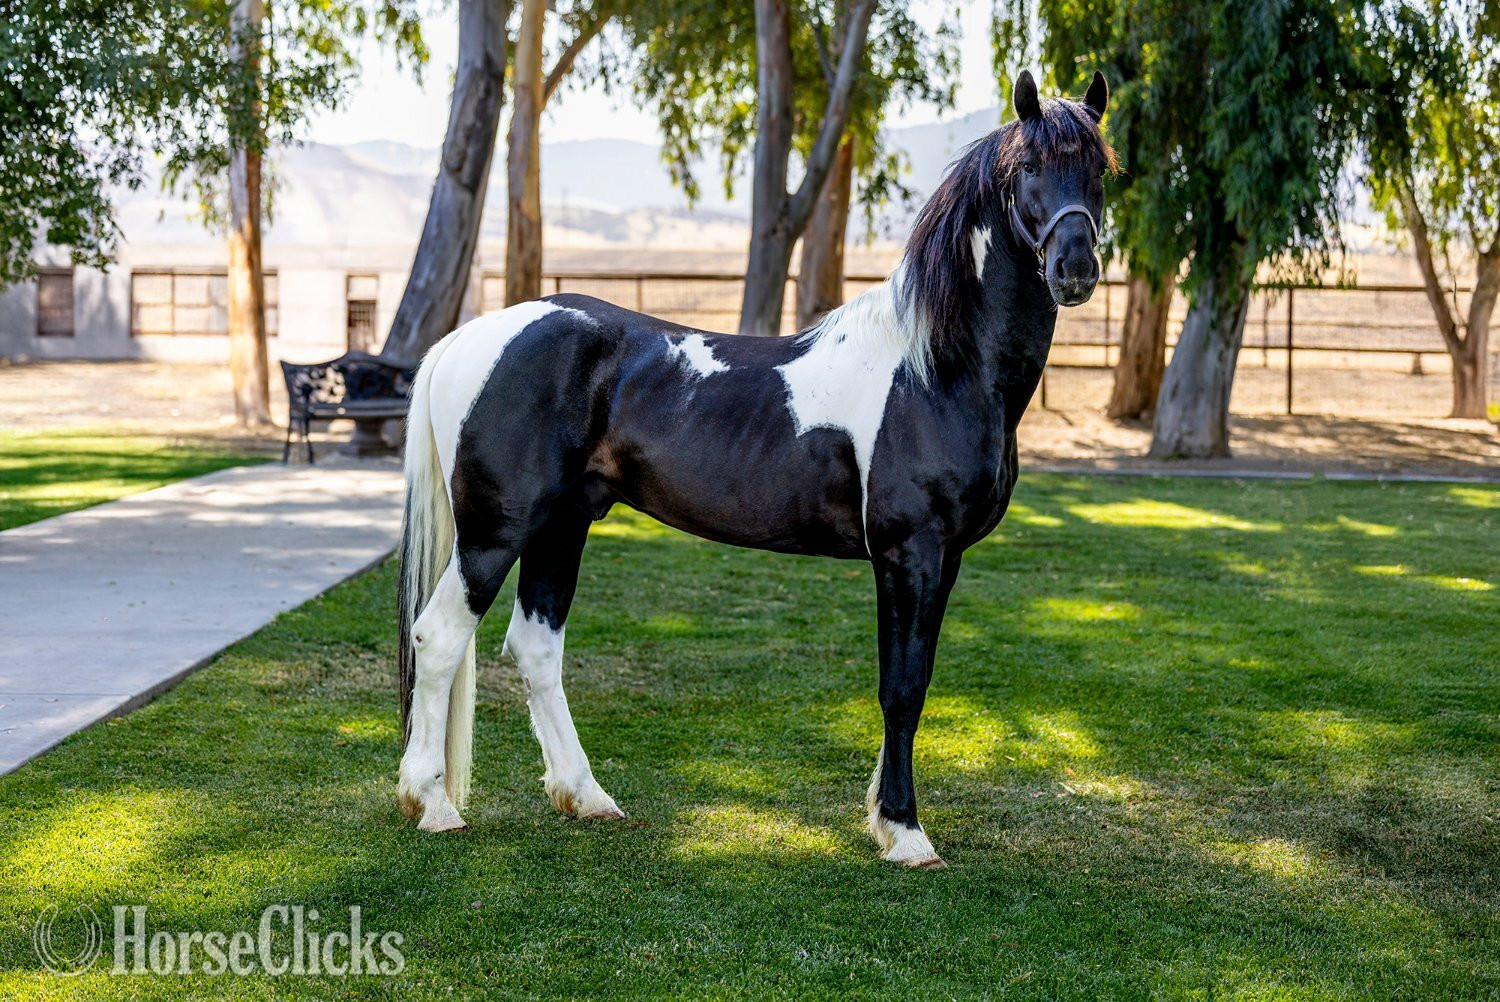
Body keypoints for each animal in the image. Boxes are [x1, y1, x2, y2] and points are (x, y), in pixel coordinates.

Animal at [396, 70, 1114, 868]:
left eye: (1102, 170)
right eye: (1028, 169)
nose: (1075, 268)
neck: (936, 369)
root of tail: (468, 338)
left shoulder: (945, 558)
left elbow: (916, 680)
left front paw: (884, 815)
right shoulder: (911, 552)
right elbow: (900, 688)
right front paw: (905, 831)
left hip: (561, 524)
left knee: (535, 649)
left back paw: (586, 797)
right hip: (495, 532)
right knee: (439, 638)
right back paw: (432, 805)